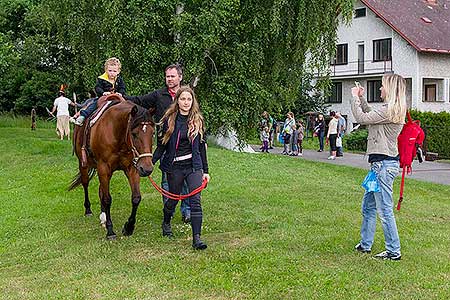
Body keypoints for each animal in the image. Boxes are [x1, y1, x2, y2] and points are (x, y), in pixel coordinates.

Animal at [69, 95, 155, 240]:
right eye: (134, 133)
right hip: (84, 164)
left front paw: (129, 227)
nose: (147, 168)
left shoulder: (132, 168)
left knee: (101, 190)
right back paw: (88, 210)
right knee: (85, 183)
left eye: (153, 133)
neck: (116, 132)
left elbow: (136, 198)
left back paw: (103, 216)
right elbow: (107, 199)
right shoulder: (104, 168)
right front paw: (110, 231)